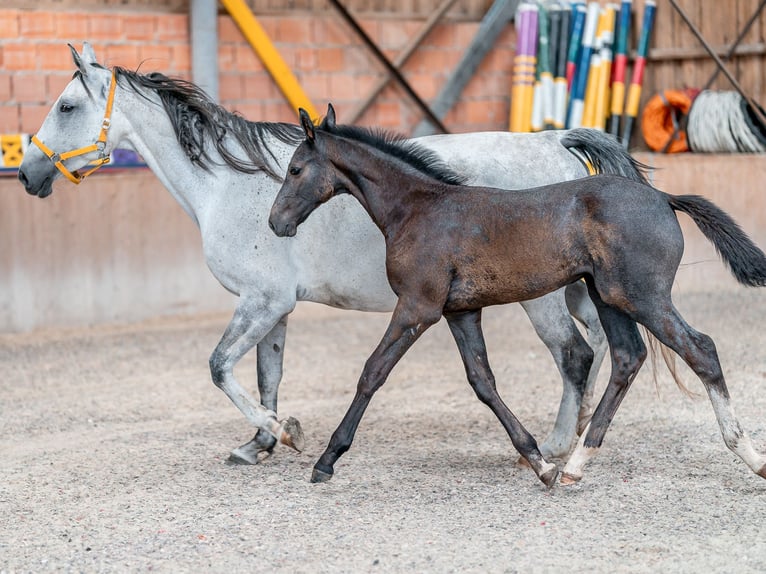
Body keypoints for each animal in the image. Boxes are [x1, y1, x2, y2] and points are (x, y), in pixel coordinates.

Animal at [18, 42, 651, 465]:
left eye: (67, 106)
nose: (27, 173)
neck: (229, 182)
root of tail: (555, 141)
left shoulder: (261, 302)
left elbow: (221, 367)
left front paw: (286, 434)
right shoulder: (274, 308)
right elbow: (266, 373)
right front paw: (260, 443)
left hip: (541, 298)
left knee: (574, 354)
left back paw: (552, 447)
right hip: (582, 287)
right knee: (605, 346)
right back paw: (578, 437)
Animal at [269, 104, 766, 486]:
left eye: (295, 169)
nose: (276, 223)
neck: (418, 209)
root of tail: (665, 198)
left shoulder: (417, 308)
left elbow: (372, 373)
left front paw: (327, 460)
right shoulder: (461, 311)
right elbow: (483, 382)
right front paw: (540, 463)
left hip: (642, 296)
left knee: (700, 349)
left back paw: (748, 455)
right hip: (608, 296)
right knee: (628, 357)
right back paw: (576, 464)